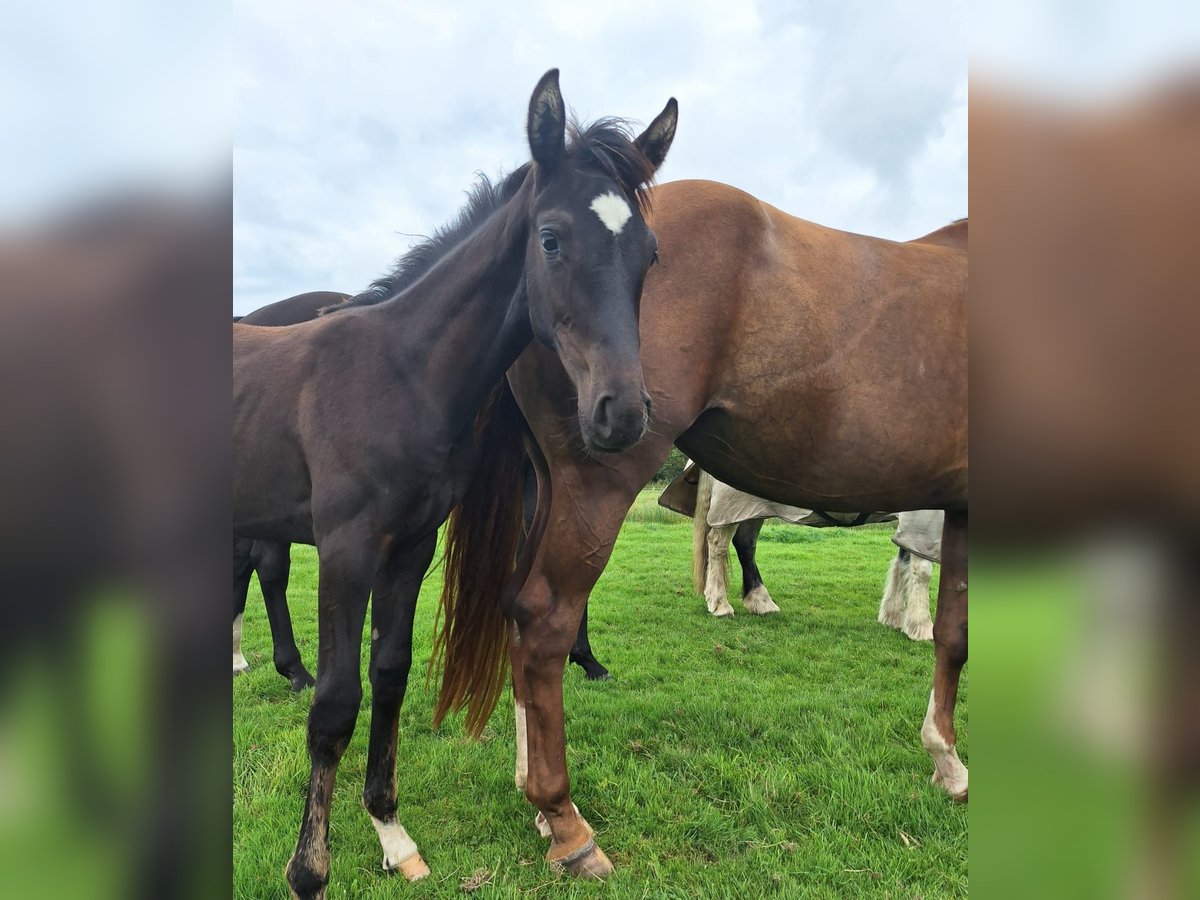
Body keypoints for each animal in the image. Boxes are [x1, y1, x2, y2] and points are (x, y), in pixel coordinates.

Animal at [234, 72, 676, 900]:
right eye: (550, 238)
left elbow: (390, 675)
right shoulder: (346, 548)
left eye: (650, 253)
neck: (399, 375)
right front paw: (309, 871)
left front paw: (393, 835)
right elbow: (335, 703)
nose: (622, 413)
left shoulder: (411, 546)